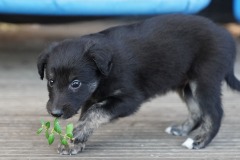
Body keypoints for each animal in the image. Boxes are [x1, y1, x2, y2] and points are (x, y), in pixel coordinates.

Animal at [37, 14, 240, 154]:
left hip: (204, 79)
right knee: (197, 111)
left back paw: (200, 141)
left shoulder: (130, 99)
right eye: (51, 81)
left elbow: (95, 112)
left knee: (214, 113)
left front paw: (76, 136)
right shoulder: (91, 97)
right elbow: (87, 116)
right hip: (186, 84)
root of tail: (226, 36)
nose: (55, 113)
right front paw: (73, 142)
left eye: (75, 83)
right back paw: (181, 129)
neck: (107, 70)